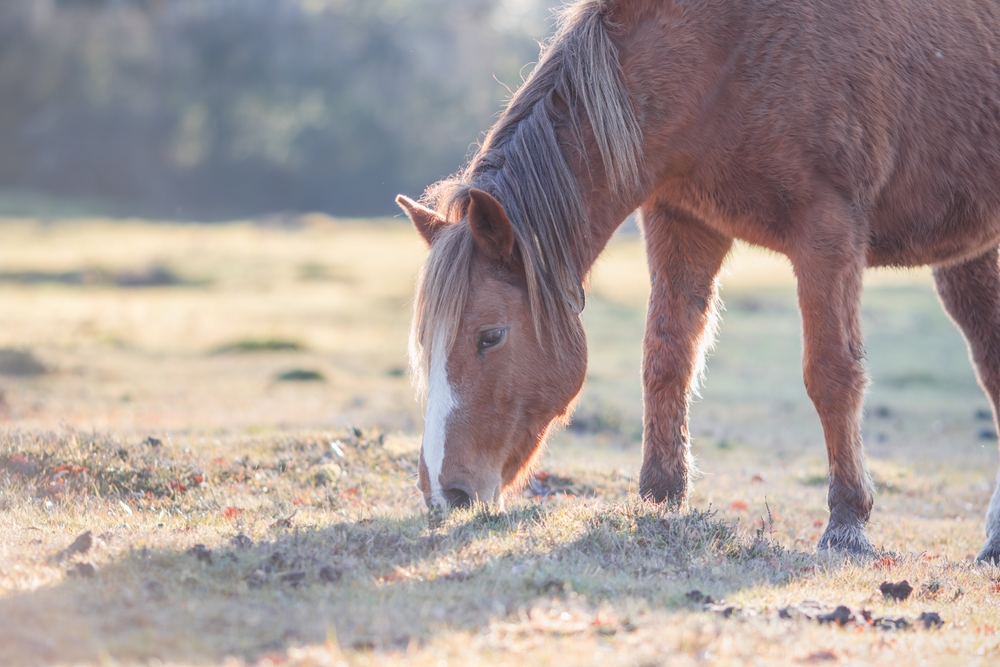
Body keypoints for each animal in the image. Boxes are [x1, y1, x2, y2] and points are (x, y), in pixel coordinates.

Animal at [396, 0, 1000, 560]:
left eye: (490, 336)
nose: (444, 493)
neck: (726, 53)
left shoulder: (828, 230)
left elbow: (832, 374)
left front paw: (847, 524)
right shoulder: (683, 221)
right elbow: (667, 357)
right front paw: (661, 497)